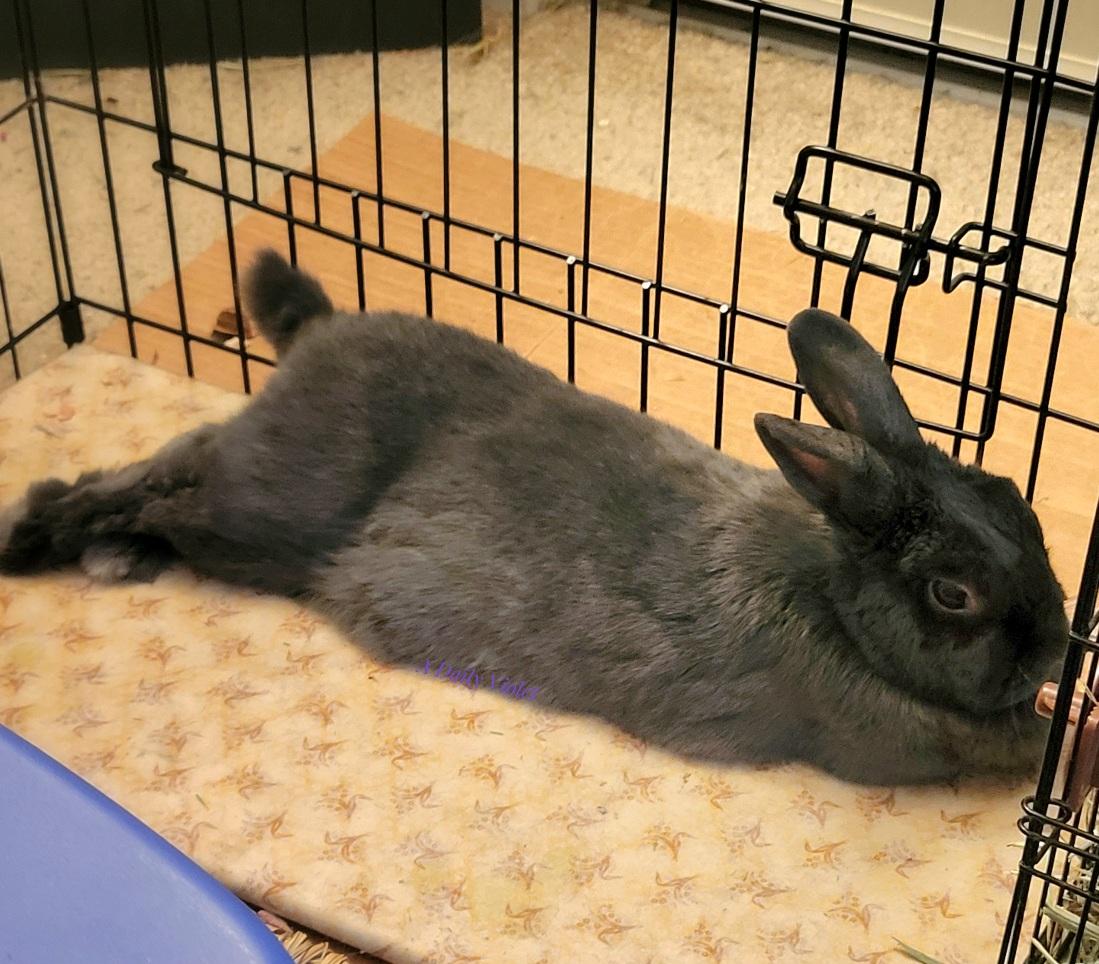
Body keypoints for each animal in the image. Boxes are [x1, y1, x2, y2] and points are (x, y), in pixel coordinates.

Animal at [0, 249, 1068, 785]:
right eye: (952, 594)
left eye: (1017, 504)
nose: (1052, 653)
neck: (834, 600)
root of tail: (322, 332)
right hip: (264, 514)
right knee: (167, 493)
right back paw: (42, 545)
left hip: (250, 481)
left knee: (162, 461)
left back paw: (83, 540)